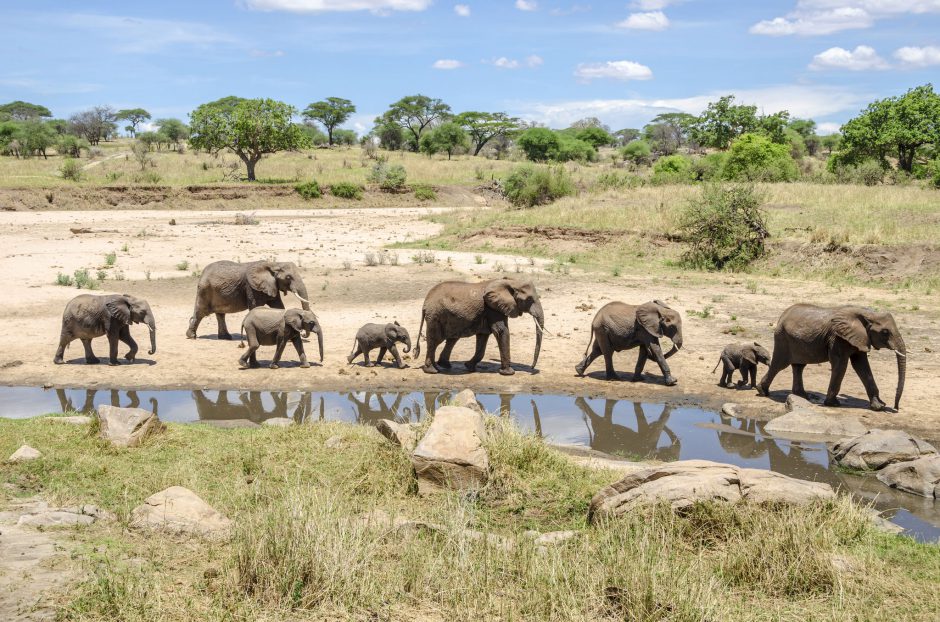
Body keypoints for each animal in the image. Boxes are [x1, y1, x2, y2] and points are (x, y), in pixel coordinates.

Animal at [414, 280, 548, 378]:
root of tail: (425, 303)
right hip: (435, 316)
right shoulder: (493, 308)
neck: (511, 281)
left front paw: (469, 367)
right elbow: (501, 331)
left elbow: (483, 336)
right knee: (434, 341)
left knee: (451, 339)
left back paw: (443, 366)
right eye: (529, 299)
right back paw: (432, 370)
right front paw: (508, 373)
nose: (531, 368)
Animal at [756, 304, 904, 412]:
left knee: (799, 366)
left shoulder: (859, 338)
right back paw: (762, 391)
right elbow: (841, 364)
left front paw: (879, 406)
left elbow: (861, 365)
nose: (896, 408)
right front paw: (833, 404)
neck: (866, 313)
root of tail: (782, 315)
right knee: (779, 365)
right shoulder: (838, 338)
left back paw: (802, 396)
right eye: (885, 332)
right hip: (782, 338)